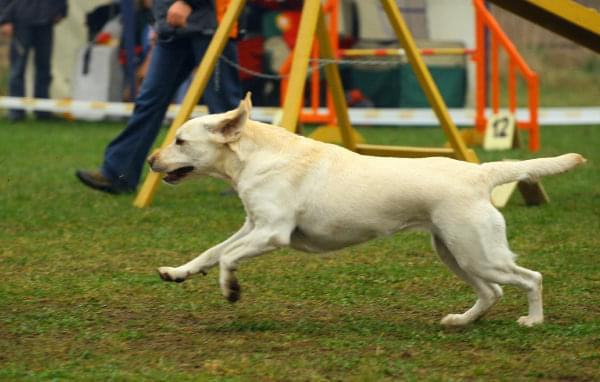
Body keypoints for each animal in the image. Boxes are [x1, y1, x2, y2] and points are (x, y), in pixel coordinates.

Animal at [148, 92, 584, 326]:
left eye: (181, 141)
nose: (151, 160)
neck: (256, 156)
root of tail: (479, 173)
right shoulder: (250, 227)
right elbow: (212, 252)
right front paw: (177, 272)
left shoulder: (271, 232)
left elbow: (227, 259)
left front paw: (231, 289)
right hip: (455, 253)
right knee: (492, 292)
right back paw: (460, 321)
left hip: (479, 253)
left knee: (531, 279)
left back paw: (533, 320)